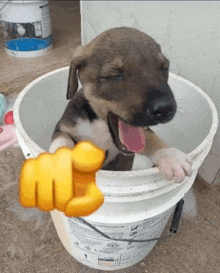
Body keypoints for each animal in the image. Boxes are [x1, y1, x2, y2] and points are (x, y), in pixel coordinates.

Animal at [49, 26, 192, 182]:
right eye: (115, 76)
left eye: (164, 68)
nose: (165, 108)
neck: (101, 126)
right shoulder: (62, 128)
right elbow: (62, 141)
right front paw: (57, 163)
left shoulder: (142, 132)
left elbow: (152, 138)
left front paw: (170, 156)